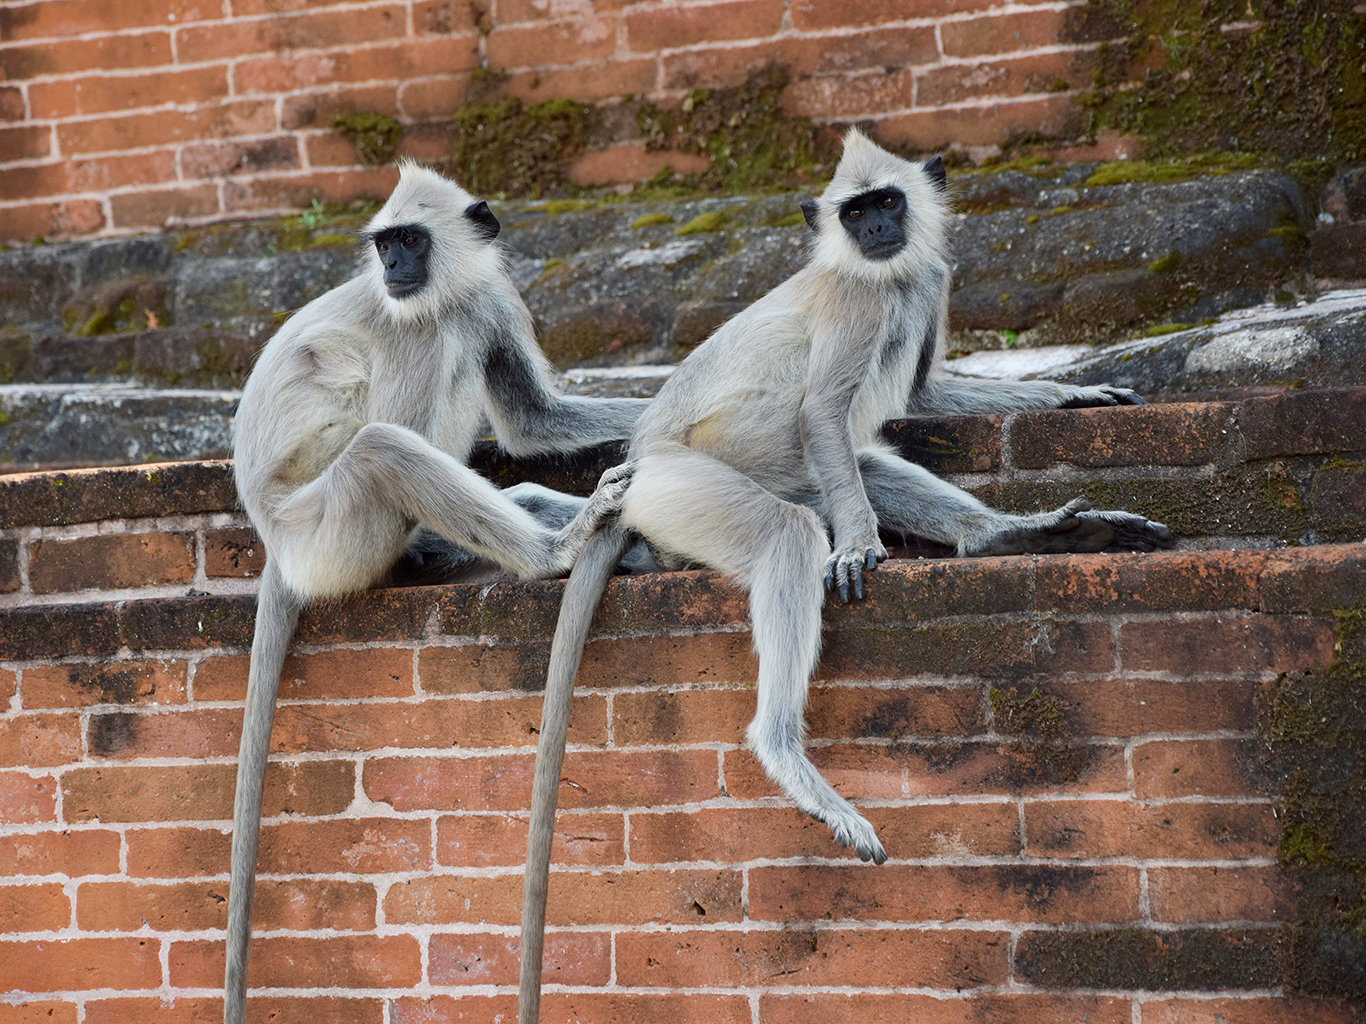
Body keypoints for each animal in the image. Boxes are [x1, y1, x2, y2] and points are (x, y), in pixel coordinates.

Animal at [224, 164, 650, 1024]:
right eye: (386, 245)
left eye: (409, 243)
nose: (393, 270)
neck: (444, 291)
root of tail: (276, 544)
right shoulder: (415, 329)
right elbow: (416, 413)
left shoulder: (489, 298)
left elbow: (533, 420)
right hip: (330, 530)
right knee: (383, 444)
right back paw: (545, 549)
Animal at [513, 130, 1174, 1024]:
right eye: (856, 212)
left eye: (887, 202)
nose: (879, 230)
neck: (884, 275)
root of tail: (632, 475)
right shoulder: (859, 306)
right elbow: (822, 412)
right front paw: (860, 545)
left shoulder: (929, 280)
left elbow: (918, 392)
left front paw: (1070, 393)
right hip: (682, 490)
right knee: (797, 523)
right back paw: (786, 749)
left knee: (863, 463)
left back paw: (1013, 535)